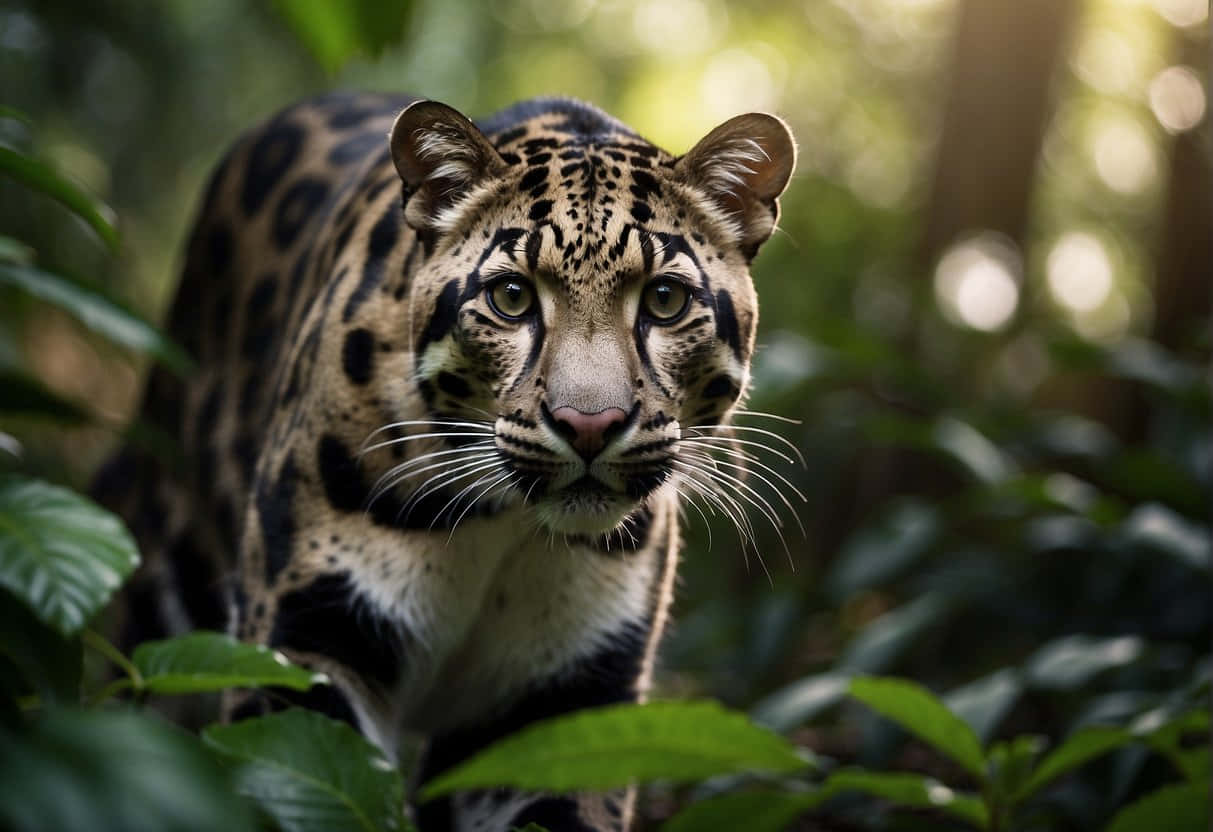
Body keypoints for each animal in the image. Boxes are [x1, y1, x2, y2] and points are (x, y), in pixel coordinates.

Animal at [95, 91, 795, 831]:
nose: (589, 425)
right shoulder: (302, 643)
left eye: (665, 301)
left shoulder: (562, 701)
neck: (506, 526)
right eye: (511, 298)